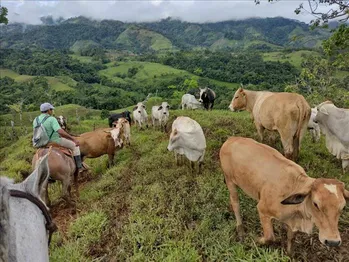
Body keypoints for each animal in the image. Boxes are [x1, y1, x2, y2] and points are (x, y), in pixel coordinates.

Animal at [220, 137, 348, 254]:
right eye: (316, 204)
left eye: (343, 207)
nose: (332, 242)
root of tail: (230, 139)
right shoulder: (262, 210)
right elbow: (269, 237)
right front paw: (254, 240)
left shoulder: (293, 221)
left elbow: (291, 238)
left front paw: (289, 255)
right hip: (229, 180)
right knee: (235, 203)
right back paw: (240, 229)